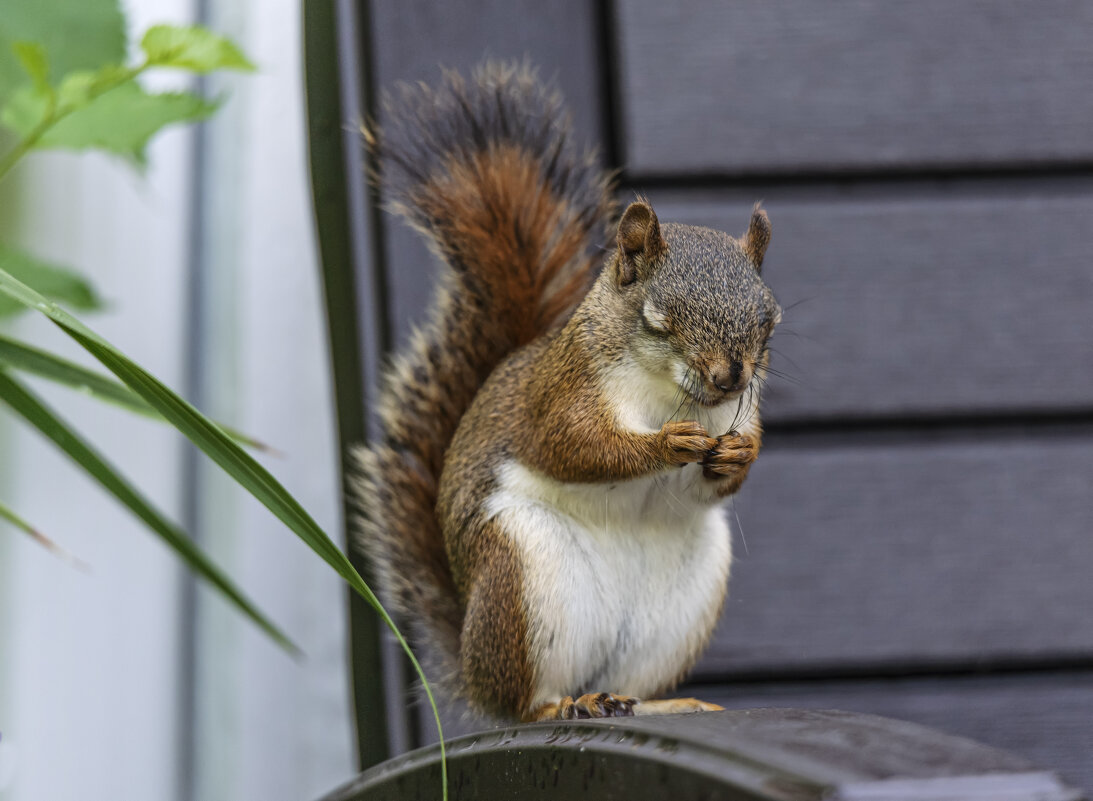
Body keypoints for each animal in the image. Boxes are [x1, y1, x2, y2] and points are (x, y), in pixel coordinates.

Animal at [349, 62, 778, 721]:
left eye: (769, 322)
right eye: (659, 321)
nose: (730, 376)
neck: (665, 395)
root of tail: (473, 674)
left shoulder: (741, 411)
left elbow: (727, 472)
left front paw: (735, 454)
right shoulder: (562, 392)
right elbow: (573, 447)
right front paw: (666, 446)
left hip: (681, 603)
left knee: (630, 684)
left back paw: (658, 703)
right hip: (522, 575)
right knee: (525, 700)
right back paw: (561, 706)